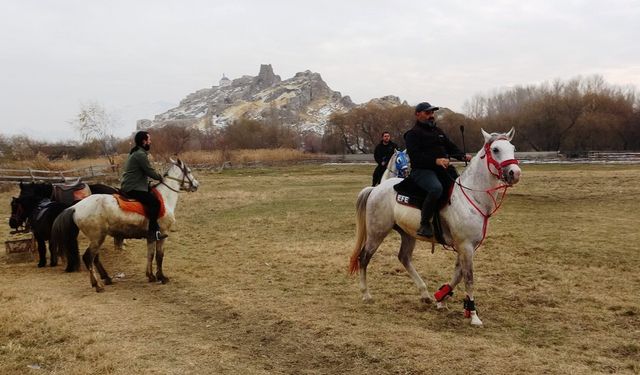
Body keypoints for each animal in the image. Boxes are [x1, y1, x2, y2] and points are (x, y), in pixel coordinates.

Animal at [51, 159, 198, 294]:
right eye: (189, 171)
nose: (196, 185)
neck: (164, 198)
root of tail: (75, 207)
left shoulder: (151, 237)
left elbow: (150, 255)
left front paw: (150, 276)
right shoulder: (162, 235)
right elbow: (159, 256)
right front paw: (162, 277)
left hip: (96, 238)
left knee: (95, 258)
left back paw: (105, 279)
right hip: (97, 237)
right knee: (88, 258)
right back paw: (98, 285)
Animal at [350, 129, 520, 326]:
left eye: (513, 148)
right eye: (495, 149)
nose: (515, 173)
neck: (471, 196)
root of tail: (376, 189)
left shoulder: (467, 247)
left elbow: (458, 274)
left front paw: (441, 297)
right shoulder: (466, 246)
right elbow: (468, 278)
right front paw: (473, 314)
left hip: (408, 234)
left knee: (404, 258)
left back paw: (424, 293)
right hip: (376, 232)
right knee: (364, 258)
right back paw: (366, 294)